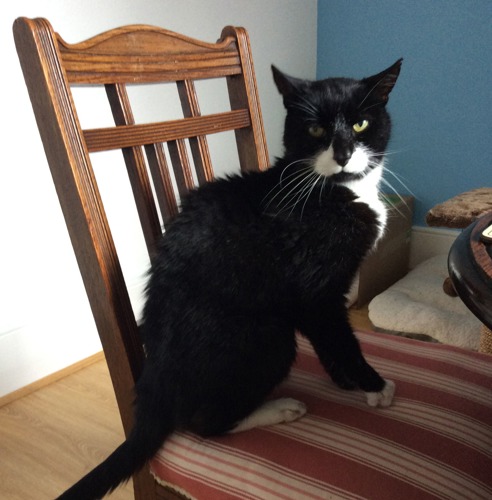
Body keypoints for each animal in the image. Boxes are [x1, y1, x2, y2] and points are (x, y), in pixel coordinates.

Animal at [59, 57, 402, 496]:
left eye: (360, 124)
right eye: (315, 130)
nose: (342, 153)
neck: (335, 191)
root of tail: (151, 390)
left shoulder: (322, 297)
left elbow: (331, 340)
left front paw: (347, 381)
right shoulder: (314, 292)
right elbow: (341, 338)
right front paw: (374, 386)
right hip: (267, 335)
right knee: (205, 424)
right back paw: (279, 408)